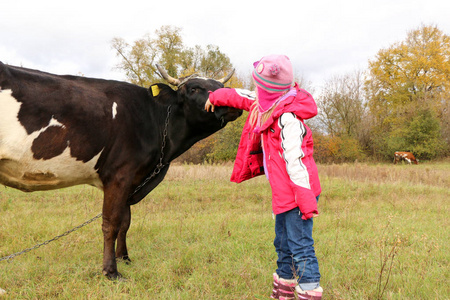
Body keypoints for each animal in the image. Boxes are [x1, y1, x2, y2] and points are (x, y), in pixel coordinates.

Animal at [0, 61, 243, 278]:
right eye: (193, 88)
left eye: (220, 86)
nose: (231, 103)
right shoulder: (119, 176)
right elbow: (111, 223)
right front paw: (110, 271)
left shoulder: (132, 180)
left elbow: (126, 222)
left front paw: (124, 258)